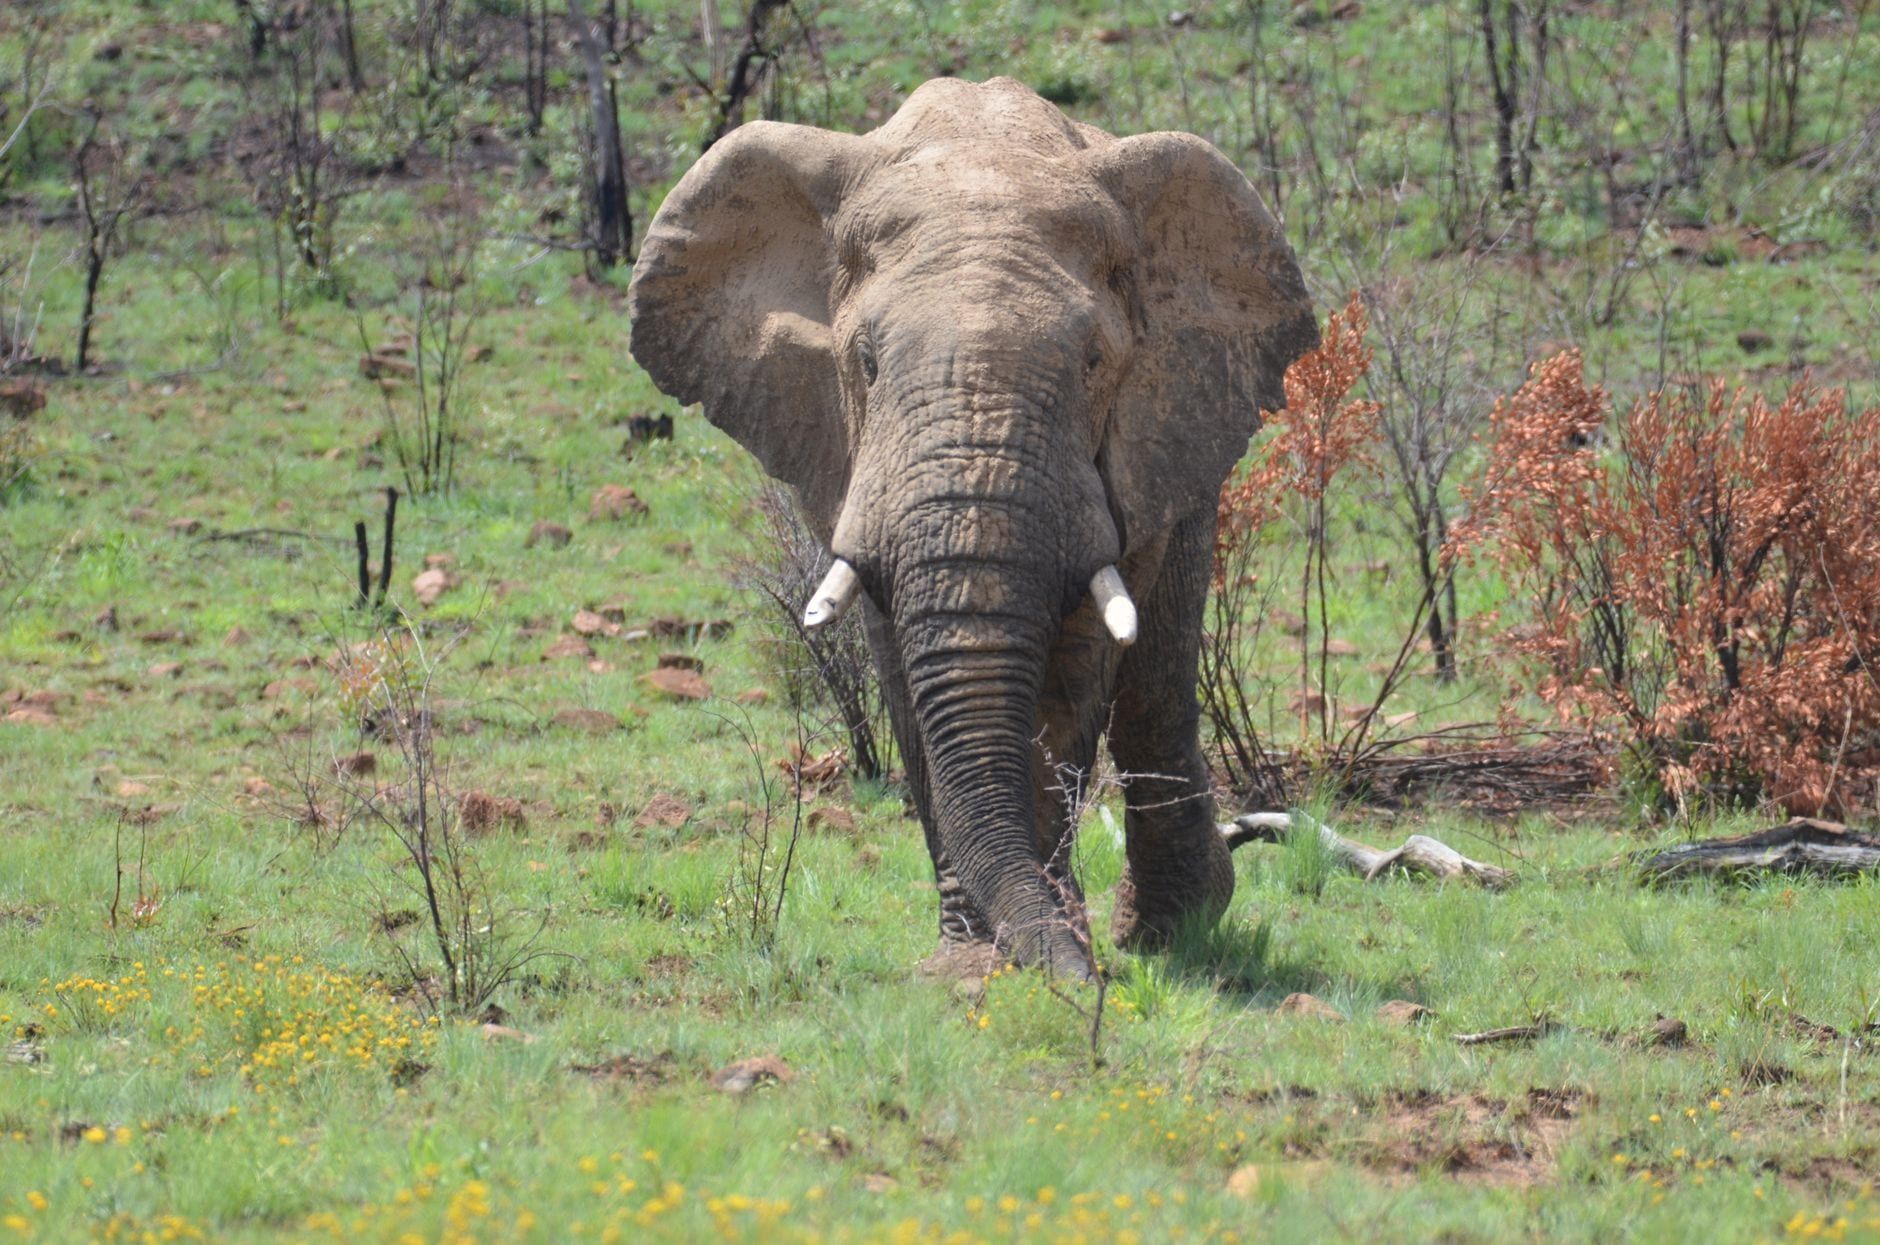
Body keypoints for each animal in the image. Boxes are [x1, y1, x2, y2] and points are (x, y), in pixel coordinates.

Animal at [627, 77, 1316, 979]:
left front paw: (1052, 954)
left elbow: (1074, 675)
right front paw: (973, 967)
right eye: (866, 363)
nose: (1087, 974)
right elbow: (905, 681)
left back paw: (1169, 930)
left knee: (1158, 673)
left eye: (1094, 363)